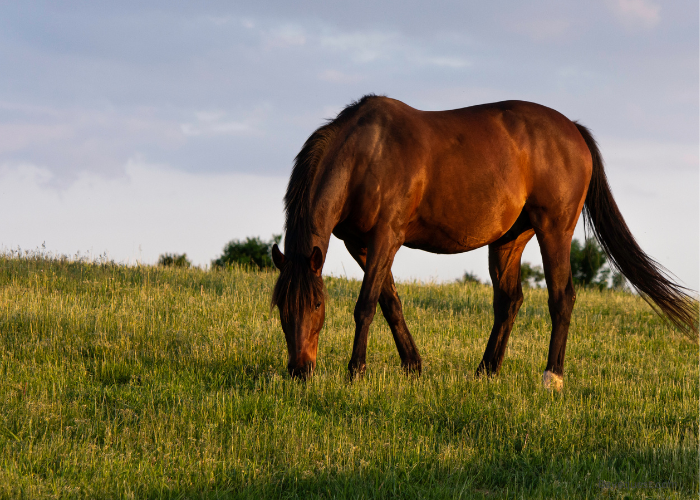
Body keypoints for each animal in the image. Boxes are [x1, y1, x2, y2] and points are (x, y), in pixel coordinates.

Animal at [270, 95, 696, 388]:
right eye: (280, 307)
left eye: (317, 304)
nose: (300, 371)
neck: (368, 153)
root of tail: (573, 129)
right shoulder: (359, 245)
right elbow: (391, 302)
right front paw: (414, 366)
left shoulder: (385, 237)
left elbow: (366, 304)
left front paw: (356, 371)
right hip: (509, 239)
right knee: (509, 301)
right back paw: (486, 370)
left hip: (554, 229)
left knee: (562, 297)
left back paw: (552, 377)